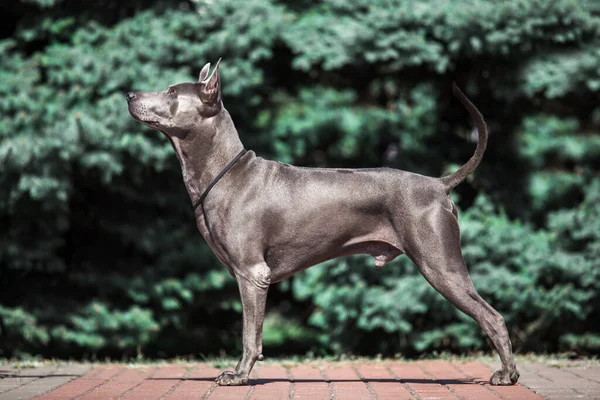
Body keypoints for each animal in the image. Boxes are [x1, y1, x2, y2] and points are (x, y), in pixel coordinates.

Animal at [126, 60, 520, 388]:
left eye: (172, 92)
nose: (129, 94)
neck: (224, 172)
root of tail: (439, 184)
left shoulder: (252, 274)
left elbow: (249, 334)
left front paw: (239, 376)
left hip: (440, 263)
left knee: (493, 316)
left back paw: (507, 375)